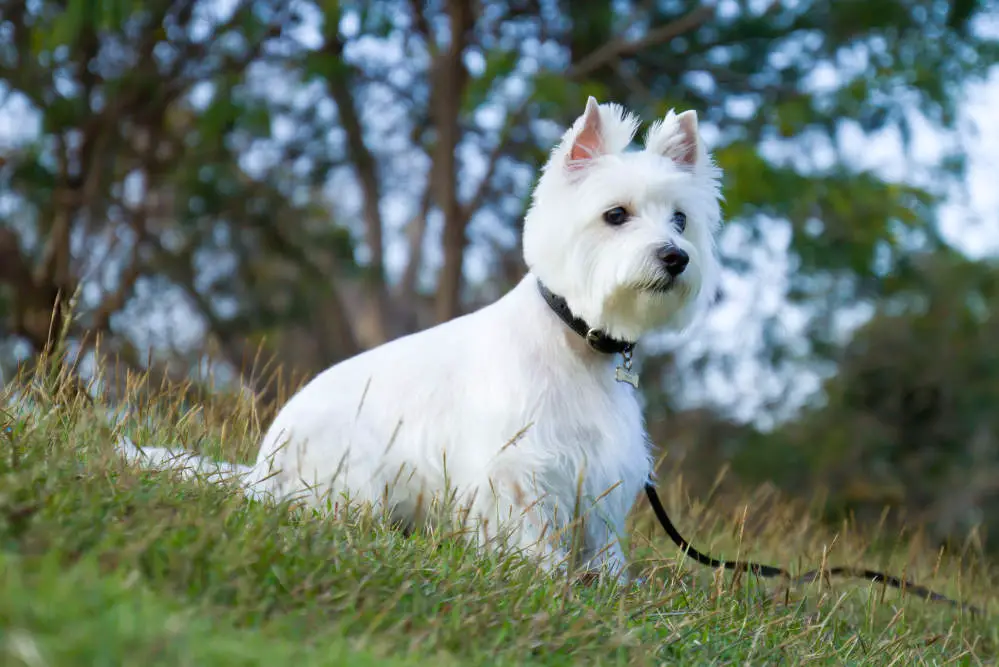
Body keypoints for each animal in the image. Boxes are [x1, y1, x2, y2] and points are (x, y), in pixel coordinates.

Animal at [121, 98, 724, 580]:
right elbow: (530, 535)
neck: (577, 342)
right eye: (615, 214)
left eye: (680, 219)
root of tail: (258, 474)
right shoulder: (517, 469)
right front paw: (545, 579)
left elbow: (602, 545)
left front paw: (612, 588)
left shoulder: (600, 475)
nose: (675, 257)